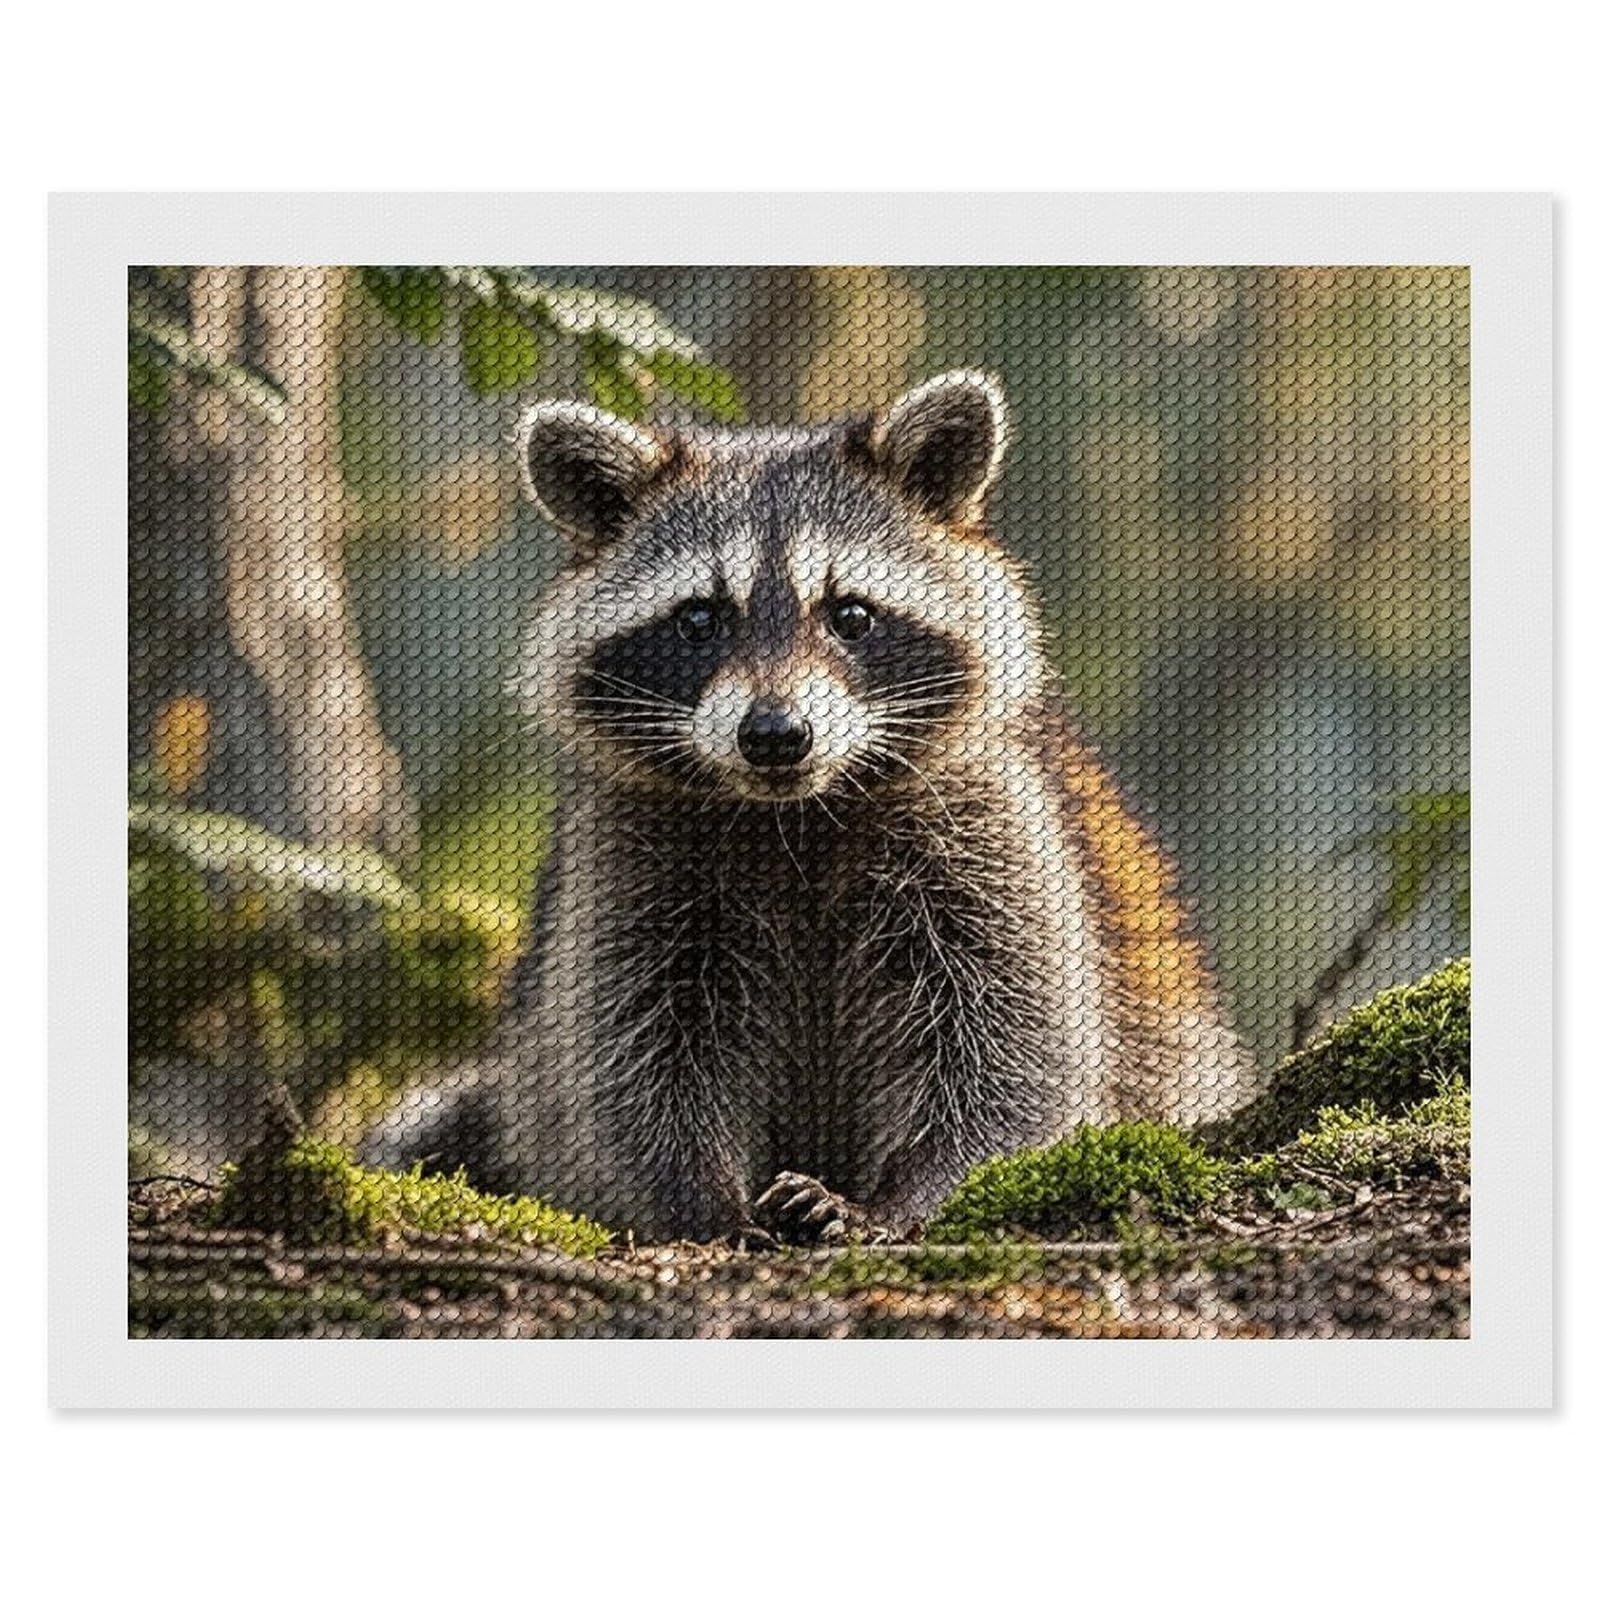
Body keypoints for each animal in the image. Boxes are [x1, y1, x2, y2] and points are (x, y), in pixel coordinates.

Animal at [367, 372, 1251, 1241]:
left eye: (851, 614)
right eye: (698, 618)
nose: (775, 735)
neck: (798, 815)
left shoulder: (994, 826)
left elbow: (1012, 1048)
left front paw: (906, 1195)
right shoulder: (630, 858)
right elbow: (634, 1059)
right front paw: (702, 1201)